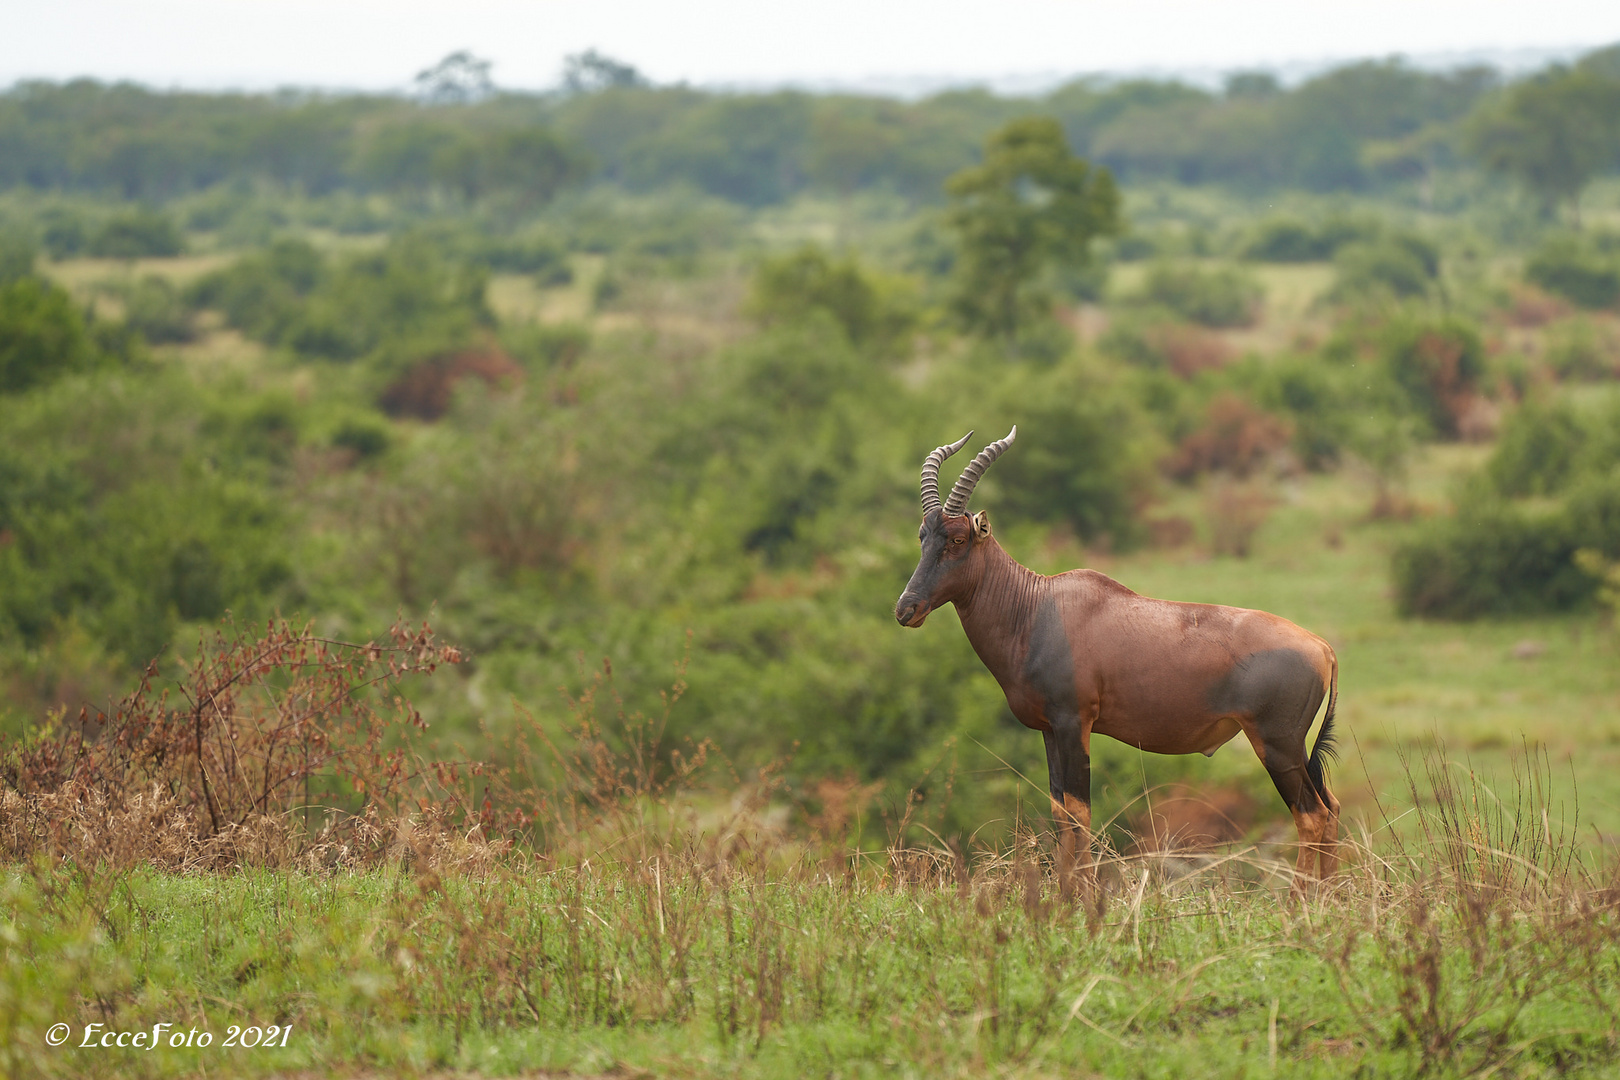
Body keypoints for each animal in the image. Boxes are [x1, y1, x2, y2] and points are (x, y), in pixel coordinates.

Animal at [894, 427, 1334, 893]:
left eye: (958, 540)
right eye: (922, 535)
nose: (907, 609)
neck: (1037, 607)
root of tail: (1321, 647)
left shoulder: (1076, 723)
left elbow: (1079, 811)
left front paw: (1083, 895)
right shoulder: (1050, 730)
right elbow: (1060, 812)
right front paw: (1063, 894)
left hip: (1276, 744)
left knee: (1311, 815)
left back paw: (1299, 902)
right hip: (1296, 748)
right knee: (1332, 807)